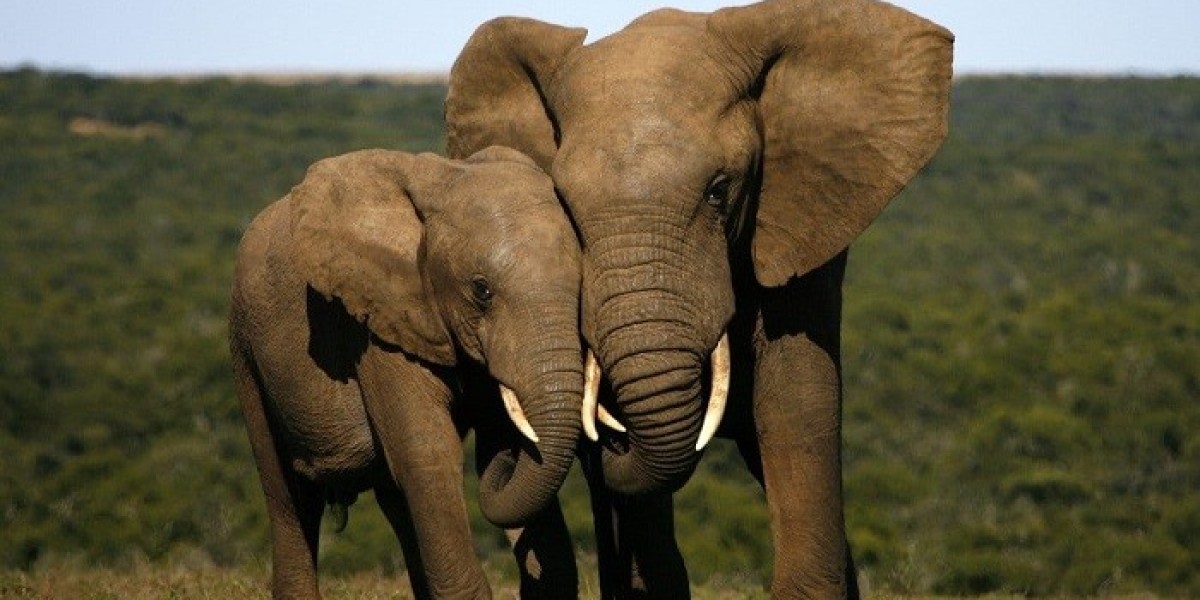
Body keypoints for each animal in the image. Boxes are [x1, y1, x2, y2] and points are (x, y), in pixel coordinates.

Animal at [228, 147, 590, 599]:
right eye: (481, 290)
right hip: (246, 350)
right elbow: (427, 454)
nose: (508, 462)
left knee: (395, 501)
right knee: (288, 496)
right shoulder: (379, 322)